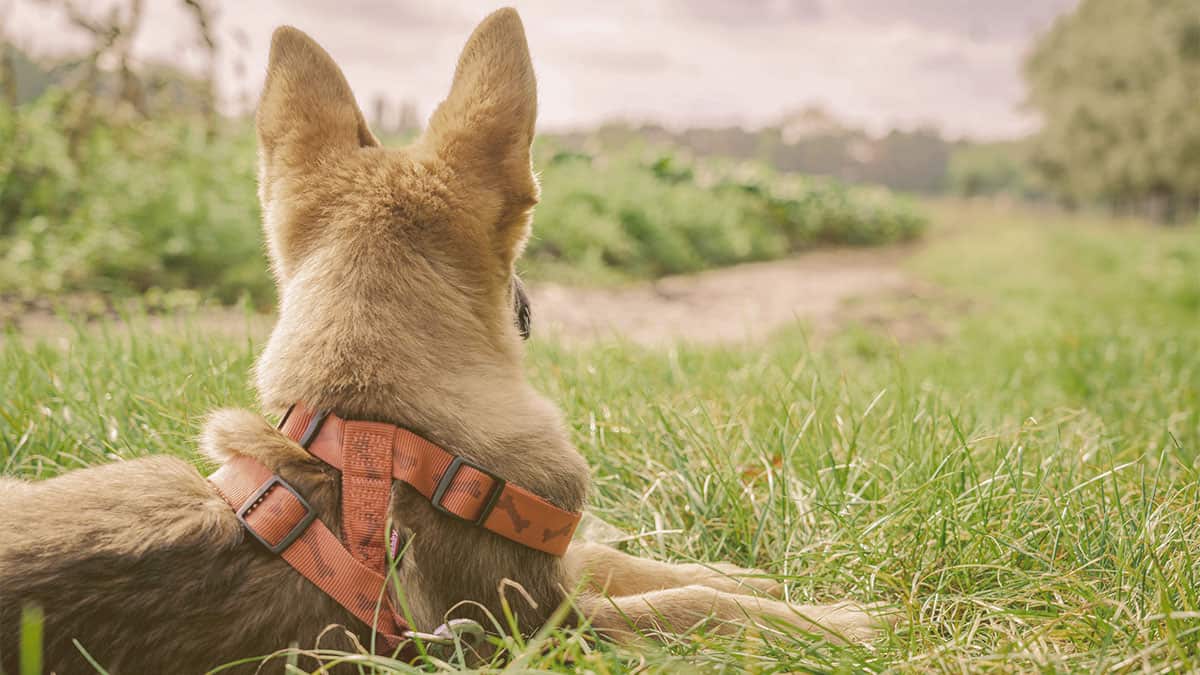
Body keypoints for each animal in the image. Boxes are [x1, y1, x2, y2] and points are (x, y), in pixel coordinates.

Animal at [0, 9, 892, 667]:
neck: (378, 427)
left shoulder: (554, 573)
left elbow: (629, 562)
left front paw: (744, 574)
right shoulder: (538, 628)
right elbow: (684, 609)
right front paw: (833, 624)